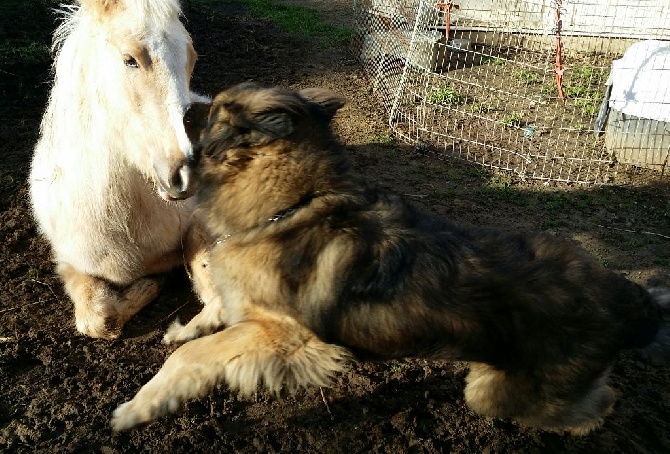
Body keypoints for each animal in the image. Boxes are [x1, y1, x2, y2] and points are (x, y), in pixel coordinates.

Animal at [30, 0, 218, 338]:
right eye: (130, 60)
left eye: (191, 57)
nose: (187, 173)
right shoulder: (69, 263)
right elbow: (97, 319)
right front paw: (150, 284)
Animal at [111, 83, 670, 434]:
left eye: (216, 113)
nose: (184, 105)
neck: (291, 203)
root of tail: (629, 298)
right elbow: (209, 318)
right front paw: (183, 328)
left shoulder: (287, 336)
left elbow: (193, 358)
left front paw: (138, 409)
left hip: (495, 392)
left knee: (599, 405)